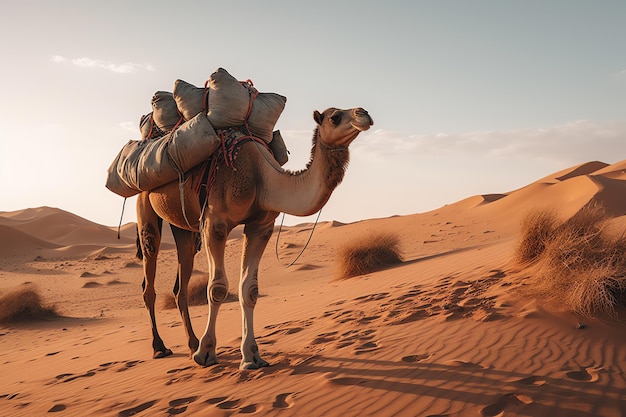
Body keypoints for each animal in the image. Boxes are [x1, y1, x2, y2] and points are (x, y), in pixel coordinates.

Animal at [136, 106, 370, 368]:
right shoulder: (214, 224)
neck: (262, 178)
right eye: (335, 117)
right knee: (149, 278)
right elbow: (216, 288)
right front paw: (206, 353)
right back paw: (160, 348)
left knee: (181, 285)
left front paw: (251, 357)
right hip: (145, 205)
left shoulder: (260, 227)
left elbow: (250, 289)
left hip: (184, 227)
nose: (364, 113)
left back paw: (191, 344)